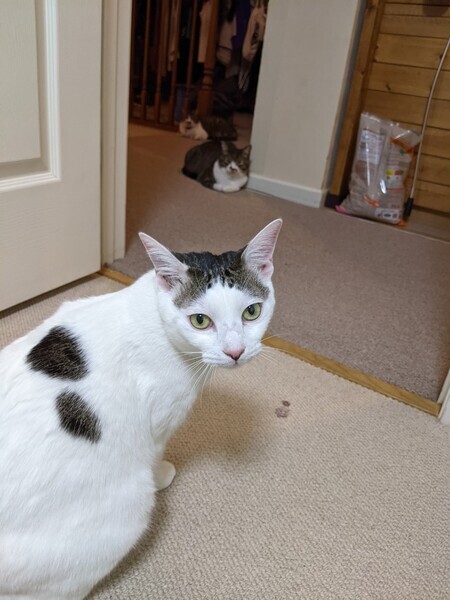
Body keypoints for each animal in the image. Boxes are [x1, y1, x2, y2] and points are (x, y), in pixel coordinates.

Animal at [0, 219, 282, 599]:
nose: (235, 351)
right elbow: (155, 451)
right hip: (127, 512)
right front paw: (161, 474)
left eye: (252, 312)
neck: (157, 319)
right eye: (199, 320)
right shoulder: (159, 421)